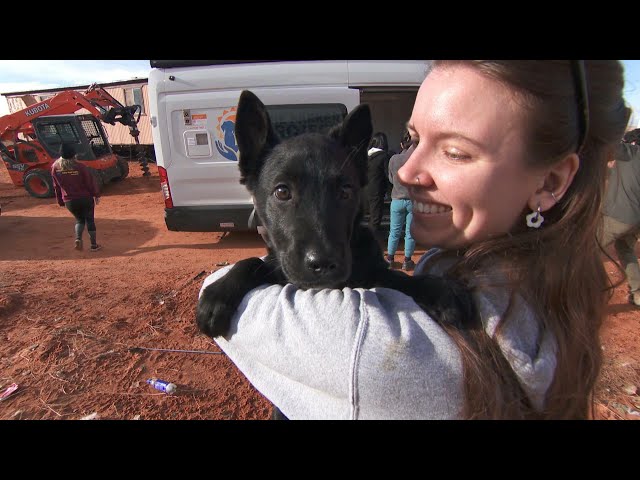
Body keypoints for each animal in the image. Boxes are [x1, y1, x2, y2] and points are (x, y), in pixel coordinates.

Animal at [198, 91, 478, 416]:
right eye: (282, 192)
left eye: (345, 191)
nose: (323, 264)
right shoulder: (281, 266)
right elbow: (253, 261)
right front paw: (218, 294)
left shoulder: (375, 273)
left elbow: (399, 279)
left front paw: (441, 290)